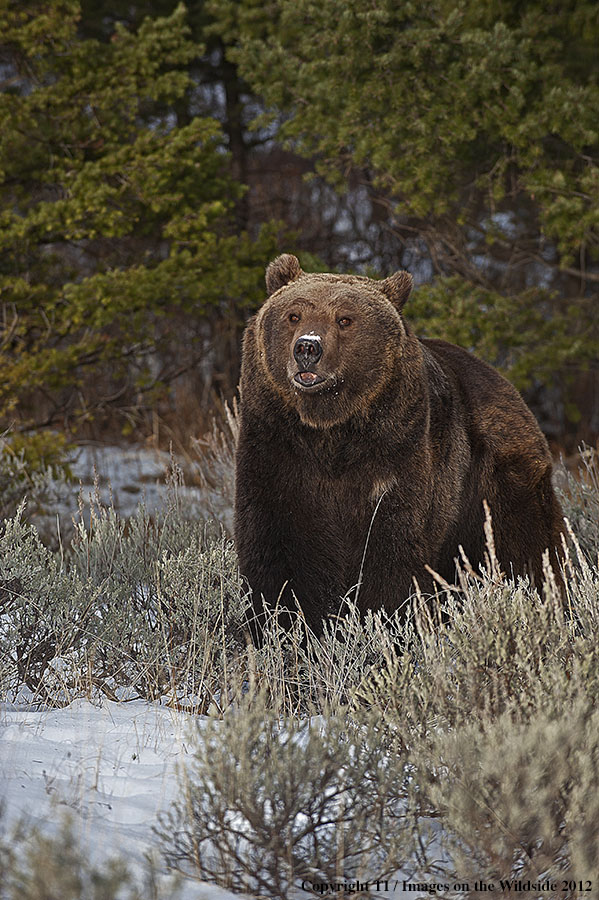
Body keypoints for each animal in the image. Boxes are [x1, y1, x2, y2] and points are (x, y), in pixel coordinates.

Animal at [234, 253, 564, 638]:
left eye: (345, 319)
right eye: (293, 315)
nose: (307, 347)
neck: (330, 432)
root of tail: (509, 387)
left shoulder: (398, 453)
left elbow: (393, 554)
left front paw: (390, 624)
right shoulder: (276, 452)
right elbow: (277, 554)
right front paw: (285, 627)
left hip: (497, 484)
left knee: (529, 552)